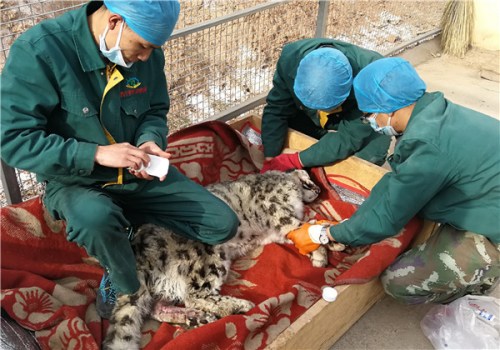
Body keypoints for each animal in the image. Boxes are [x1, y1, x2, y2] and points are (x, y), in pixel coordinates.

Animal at [103, 170, 324, 350]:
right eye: (309, 181)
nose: (319, 189)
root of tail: (138, 252)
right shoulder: (274, 208)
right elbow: (295, 224)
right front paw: (321, 250)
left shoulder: (276, 231)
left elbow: (294, 231)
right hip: (206, 259)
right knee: (195, 295)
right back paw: (239, 305)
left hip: (168, 284)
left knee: (159, 307)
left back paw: (195, 318)